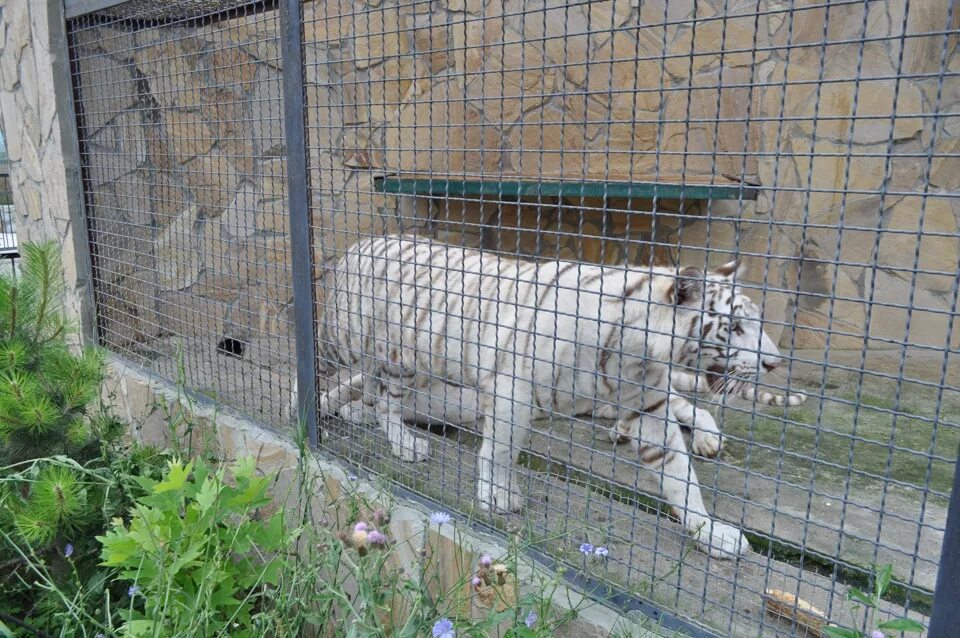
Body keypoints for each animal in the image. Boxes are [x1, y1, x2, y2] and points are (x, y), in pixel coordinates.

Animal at [312, 236, 792, 560]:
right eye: (734, 328)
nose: (774, 362)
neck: (635, 352)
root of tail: (359, 244)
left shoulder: (649, 408)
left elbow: (680, 475)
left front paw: (710, 531)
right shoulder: (513, 389)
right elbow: (500, 449)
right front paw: (497, 495)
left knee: (380, 400)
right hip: (366, 347)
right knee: (355, 385)